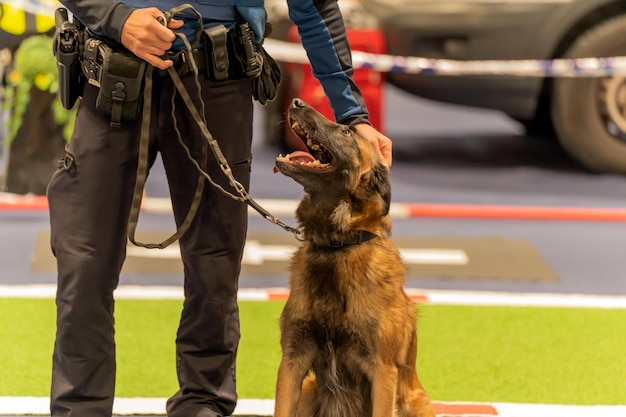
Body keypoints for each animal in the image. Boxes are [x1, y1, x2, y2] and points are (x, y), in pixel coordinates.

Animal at [272, 98, 434, 416]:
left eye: (346, 132)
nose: (296, 102)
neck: (336, 245)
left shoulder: (382, 371)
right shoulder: (292, 361)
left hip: (416, 404)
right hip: (310, 392)